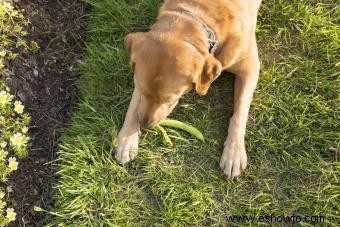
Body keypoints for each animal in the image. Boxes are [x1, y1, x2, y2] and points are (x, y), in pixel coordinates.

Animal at [115, 0, 262, 180]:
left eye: (169, 100)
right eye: (142, 90)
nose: (144, 125)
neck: (199, 17)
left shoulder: (250, 66)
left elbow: (240, 112)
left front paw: (234, 152)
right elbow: (134, 105)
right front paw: (127, 138)